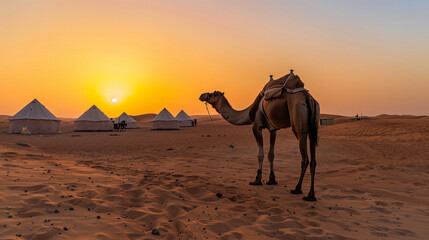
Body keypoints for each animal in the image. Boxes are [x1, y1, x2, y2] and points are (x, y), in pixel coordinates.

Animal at [199, 71, 320, 201]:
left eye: (212, 93)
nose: (201, 95)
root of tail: (308, 98)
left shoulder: (256, 126)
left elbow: (260, 154)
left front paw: (257, 180)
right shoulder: (273, 129)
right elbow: (271, 154)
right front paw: (272, 180)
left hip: (299, 124)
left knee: (305, 158)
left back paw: (297, 189)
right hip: (313, 126)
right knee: (313, 159)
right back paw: (310, 195)